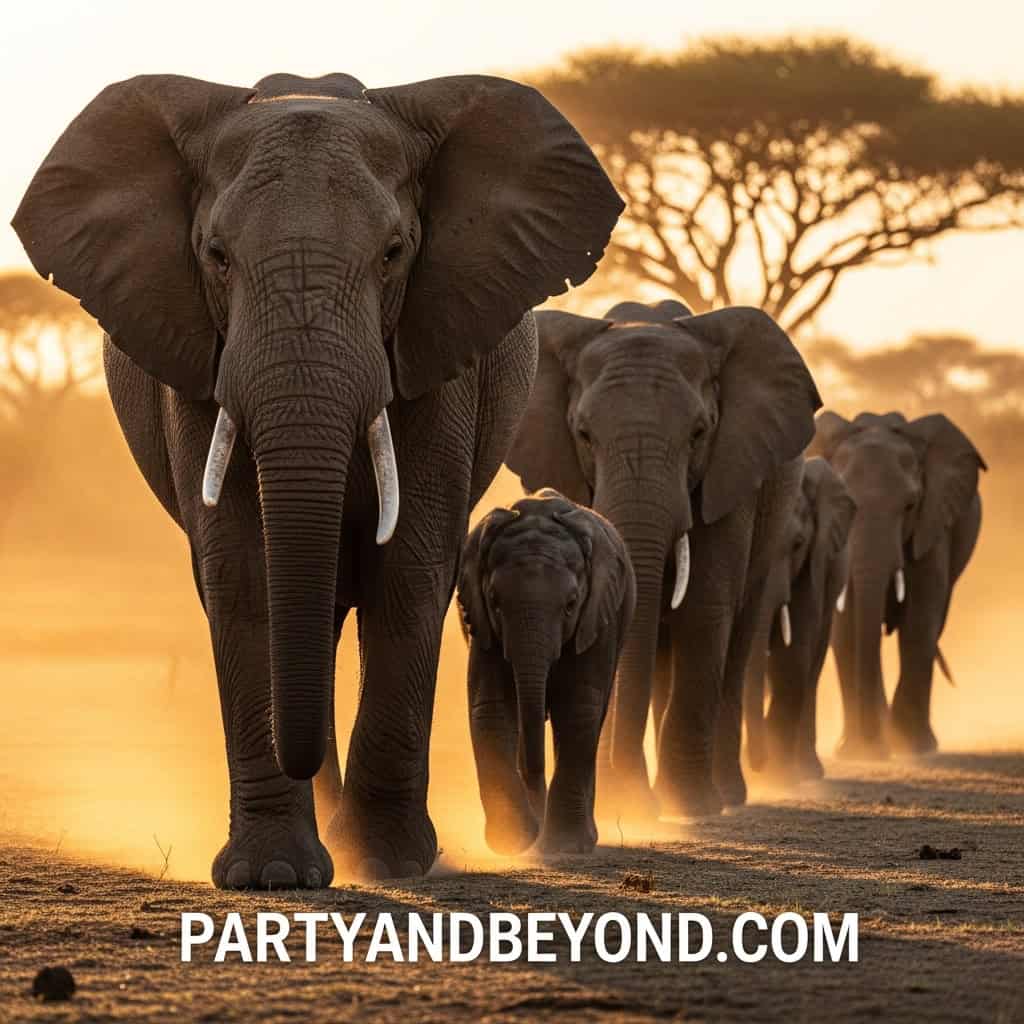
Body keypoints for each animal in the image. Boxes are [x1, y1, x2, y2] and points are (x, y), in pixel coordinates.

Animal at [457, 490, 634, 855]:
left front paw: (565, 846)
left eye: (570, 605)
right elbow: (491, 707)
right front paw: (512, 841)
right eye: (494, 601)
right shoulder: (482, 626)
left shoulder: (597, 620)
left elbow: (578, 709)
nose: (536, 832)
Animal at [506, 299, 821, 820]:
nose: (624, 796)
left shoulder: (730, 473)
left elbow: (705, 609)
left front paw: (689, 806)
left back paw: (725, 795)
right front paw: (631, 802)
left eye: (699, 433)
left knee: (738, 637)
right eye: (583, 434)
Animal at [744, 456, 856, 781]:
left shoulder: (815, 560)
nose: (758, 764)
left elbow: (794, 653)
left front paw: (780, 775)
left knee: (813, 664)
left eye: (797, 544)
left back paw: (808, 770)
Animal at [810, 411, 985, 758]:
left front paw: (913, 747)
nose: (874, 748)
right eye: (846, 507)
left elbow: (919, 619)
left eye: (909, 506)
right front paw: (856, 752)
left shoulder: (933, 523)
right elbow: (845, 627)